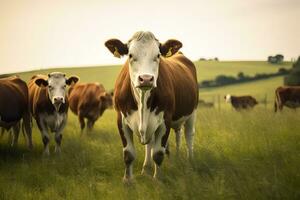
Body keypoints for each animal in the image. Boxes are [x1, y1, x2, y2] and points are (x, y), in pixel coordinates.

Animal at [104, 31, 198, 181]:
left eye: (158, 55)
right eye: (130, 55)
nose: (146, 79)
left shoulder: (165, 120)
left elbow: (158, 153)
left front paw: (157, 179)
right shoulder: (121, 119)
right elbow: (129, 154)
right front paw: (128, 180)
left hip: (192, 111)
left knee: (189, 135)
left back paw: (189, 164)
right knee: (156, 142)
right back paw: (147, 168)